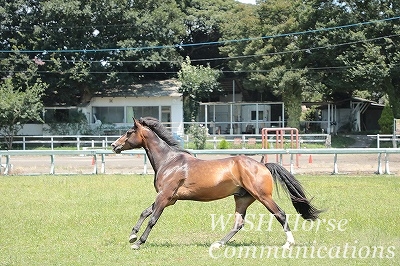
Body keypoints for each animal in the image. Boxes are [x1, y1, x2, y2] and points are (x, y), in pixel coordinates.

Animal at [110, 116, 322, 249]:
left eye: (128, 132)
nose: (113, 146)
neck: (169, 161)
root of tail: (263, 165)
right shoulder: (170, 198)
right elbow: (145, 212)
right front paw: (132, 235)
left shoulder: (165, 196)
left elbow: (153, 218)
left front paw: (138, 243)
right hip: (242, 199)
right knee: (238, 224)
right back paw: (218, 243)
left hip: (263, 196)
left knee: (280, 214)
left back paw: (289, 243)